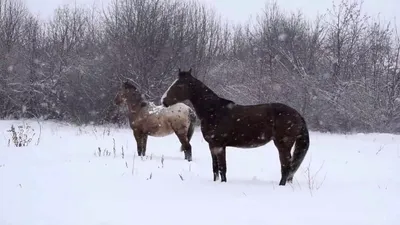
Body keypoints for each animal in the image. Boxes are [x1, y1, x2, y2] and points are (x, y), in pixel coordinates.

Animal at [162, 69, 310, 185]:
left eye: (179, 85)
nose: (163, 100)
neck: (214, 111)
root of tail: (298, 115)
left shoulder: (219, 145)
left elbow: (222, 168)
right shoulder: (212, 146)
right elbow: (215, 168)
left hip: (283, 145)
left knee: (286, 167)